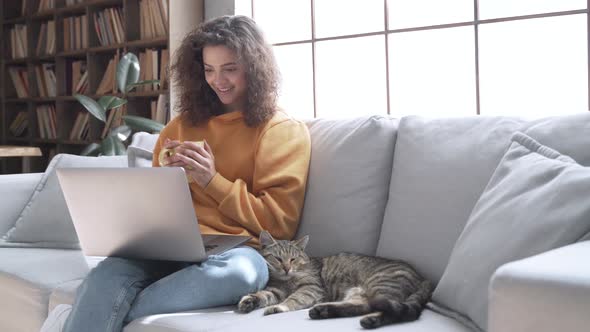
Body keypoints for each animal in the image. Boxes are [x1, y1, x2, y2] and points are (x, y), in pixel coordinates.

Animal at [237, 231, 434, 330]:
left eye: (293, 259)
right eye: (278, 259)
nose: (286, 268)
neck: (286, 280)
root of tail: (423, 278)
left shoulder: (311, 288)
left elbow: (293, 299)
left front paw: (279, 307)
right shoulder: (276, 290)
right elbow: (263, 294)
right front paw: (250, 300)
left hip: (381, 286)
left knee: (391, 310)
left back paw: (371, 320)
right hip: (360, 293)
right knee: (362, 306)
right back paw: (323, 311)